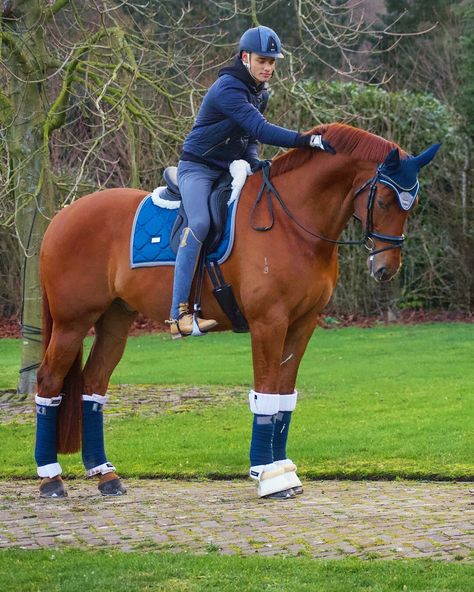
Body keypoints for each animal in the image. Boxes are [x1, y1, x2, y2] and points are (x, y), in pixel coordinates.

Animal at [35, 125, 438, 500]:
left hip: (115, 321)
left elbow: (284, 396)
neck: (292, 222)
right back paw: (51, 477)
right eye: (384, 200)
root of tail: (62, 217)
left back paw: (106, 475)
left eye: (412, 203)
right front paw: (268, 475)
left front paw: (284, 468)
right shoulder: (268, 323)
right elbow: (265, 394)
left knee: (93, 385)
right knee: (49, 382)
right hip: (72, 323)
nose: (386, 268)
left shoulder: (302, 324)